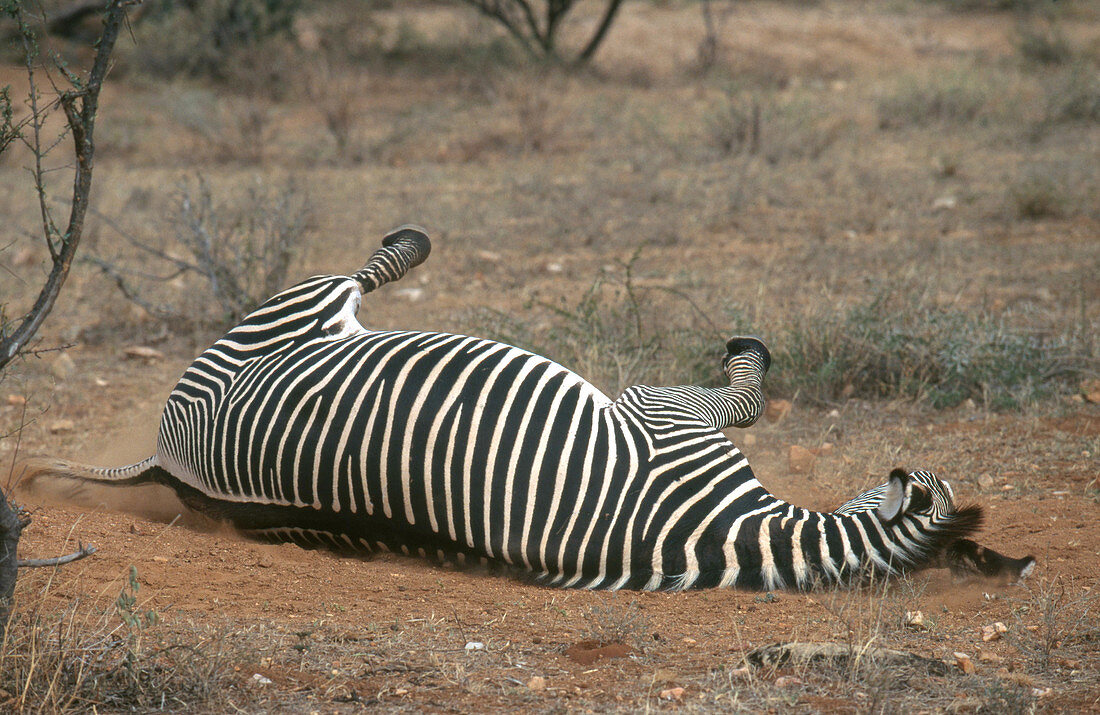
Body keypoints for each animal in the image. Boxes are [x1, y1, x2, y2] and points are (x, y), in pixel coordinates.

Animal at [25, 225, 1038, 589]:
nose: (901, 466)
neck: (730, 535)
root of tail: (163, 457)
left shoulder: (662, 412)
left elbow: (746, 394)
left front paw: (745, 346)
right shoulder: (662, 411)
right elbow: (750, 395)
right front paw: (748, 345)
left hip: (286, 320)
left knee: (358, 272)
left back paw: (407, 240)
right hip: (296, 316)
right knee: (363, 270)